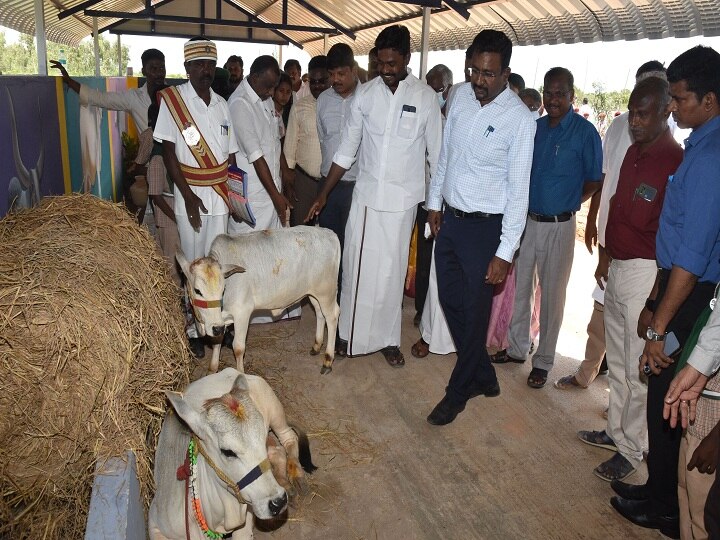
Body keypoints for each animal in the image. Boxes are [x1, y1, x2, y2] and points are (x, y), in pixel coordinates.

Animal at [148, 368, 314, 540]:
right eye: (227, 451)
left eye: (261, 439)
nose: (278, 502)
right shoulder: (155, 524)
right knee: (278, 451)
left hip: (275, 413)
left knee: (288, 438)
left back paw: (297, 476)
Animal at [177, 226, 340, 374]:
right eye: (198, 290)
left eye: (223, 289)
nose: (216, 328)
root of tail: (329, 233)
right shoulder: (220, 321)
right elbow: (217, 343)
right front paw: (212, 369)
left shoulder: (242, 312)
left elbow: (238, 348)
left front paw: (240, 374)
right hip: (314, 293)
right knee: (320, 313)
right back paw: (316, 346)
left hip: (327, 292)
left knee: (332, 316)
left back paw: (327, 360)